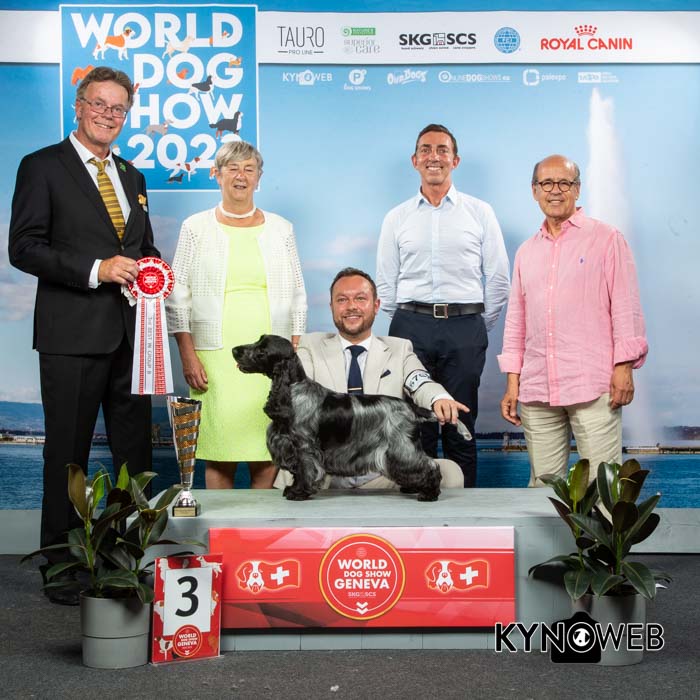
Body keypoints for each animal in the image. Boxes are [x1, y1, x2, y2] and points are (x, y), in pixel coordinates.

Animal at [233, 334, 472, 502]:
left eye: (262, 350)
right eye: (258, 340)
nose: (235, 350)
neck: (293, 389)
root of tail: (411, 407)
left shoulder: (304, 447)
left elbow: (306, 470)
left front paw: (299, 493)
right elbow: (298, 472)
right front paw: (293, 488)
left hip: (402, 447)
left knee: (430, 465)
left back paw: (429, 494)